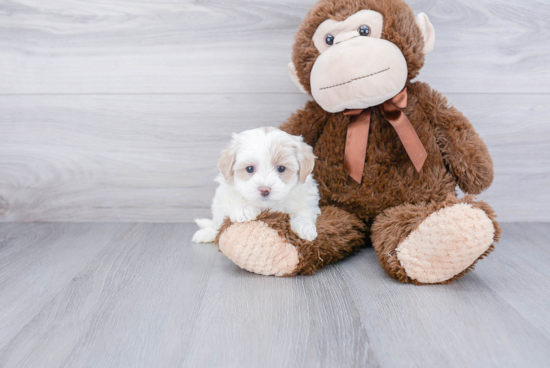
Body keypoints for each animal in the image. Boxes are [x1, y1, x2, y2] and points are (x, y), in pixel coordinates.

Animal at [194, 127, 324, 244]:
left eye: (281, 168)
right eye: (250, 169)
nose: (264, 190)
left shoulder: (307, 198)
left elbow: (304, 212)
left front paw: (305, 227)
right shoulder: (223, 198)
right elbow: (233, 202)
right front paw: (244, 209)